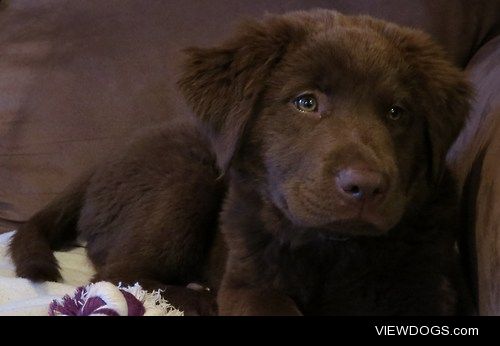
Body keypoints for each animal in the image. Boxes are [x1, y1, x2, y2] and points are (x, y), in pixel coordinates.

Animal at [10, 9, 472, 314]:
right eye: (306, 102)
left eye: (397, 112)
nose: (366, 187)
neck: (332, 247)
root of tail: (99, 165)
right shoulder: (251, 281)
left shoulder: (427, 285)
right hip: (187, 181)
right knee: (118, 276)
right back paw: (197, 297)